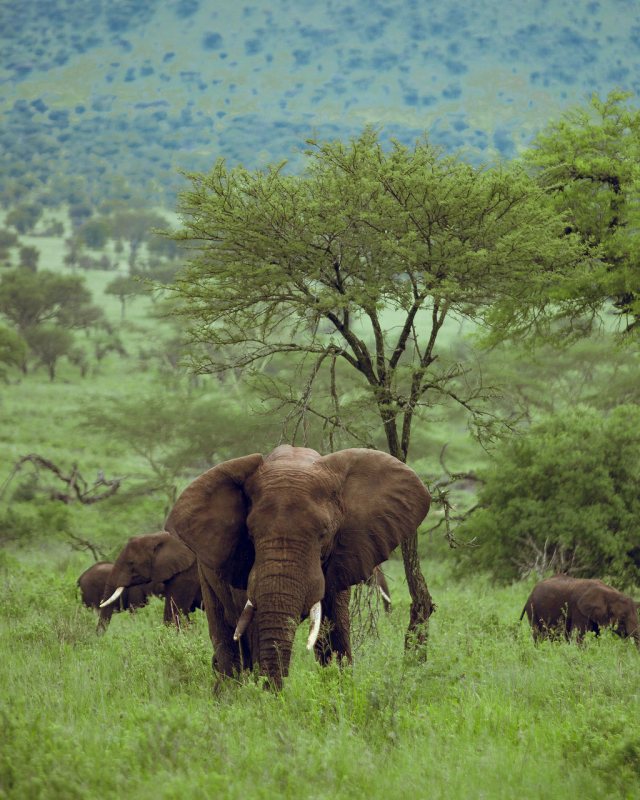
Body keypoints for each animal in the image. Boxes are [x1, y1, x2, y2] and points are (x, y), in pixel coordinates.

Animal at [165, 445, 430, 688]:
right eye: (250, 535)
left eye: (324, 534)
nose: (273, 696)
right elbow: (256, 628)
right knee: (227, 638)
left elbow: (334, 632)